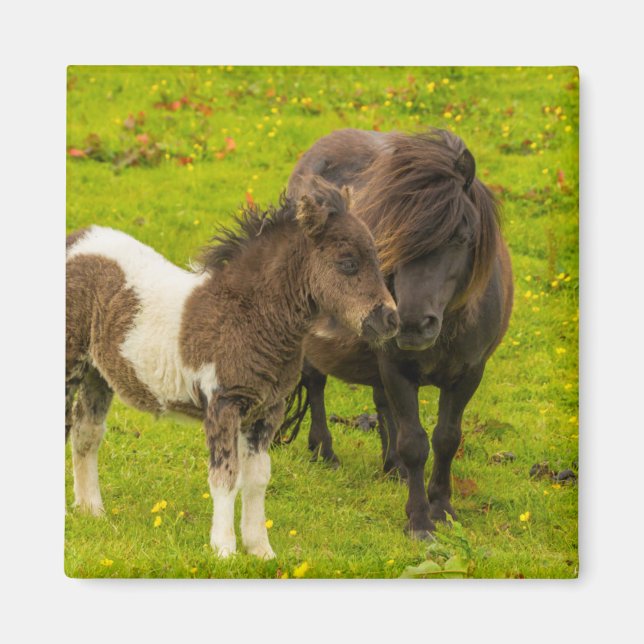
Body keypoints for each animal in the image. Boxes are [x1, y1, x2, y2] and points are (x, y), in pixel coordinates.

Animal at [65, 177, 399, 559]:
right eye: (347, 263)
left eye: (376, 258)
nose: (390, 319)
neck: (249, 315)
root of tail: (75, 241)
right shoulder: (223, 403)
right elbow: (225, 475)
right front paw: (224, 549)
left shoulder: (267, 409)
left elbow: (257, 478)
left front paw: (260, 548)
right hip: (69, 364)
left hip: (97, 374)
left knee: (86, 433)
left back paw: (91, 510)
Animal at [283, 128, 513, 539]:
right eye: (391, 237)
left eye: (461, 236)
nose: (412, 323)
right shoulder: (396, 367)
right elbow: (415, 442)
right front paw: (419, 519)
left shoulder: (469, 374)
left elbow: (446, 438)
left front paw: (443, 507)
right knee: (315, 382)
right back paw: (324, 451)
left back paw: (392, 467)